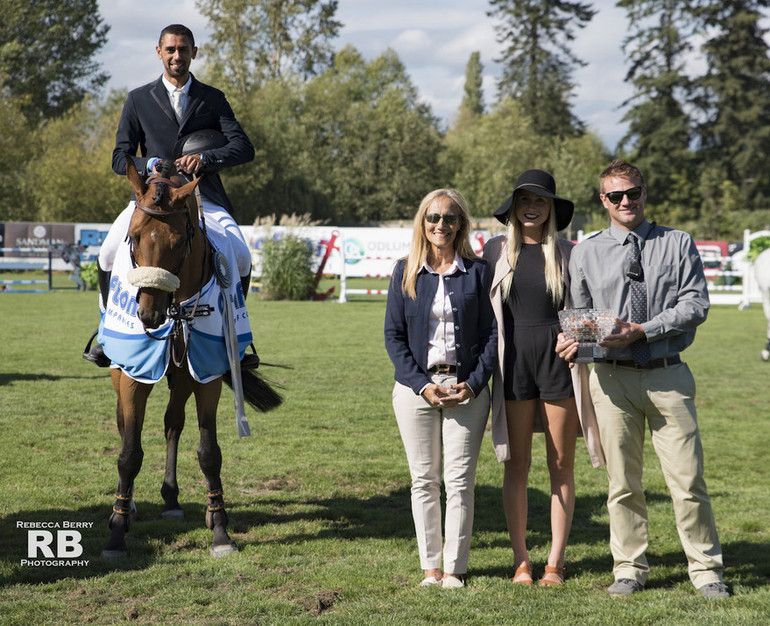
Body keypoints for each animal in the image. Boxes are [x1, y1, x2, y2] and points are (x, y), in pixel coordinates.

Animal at [102, 158, 280, 560]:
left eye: (180, 241)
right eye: (133, 237)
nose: (148, 315)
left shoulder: (206, 373)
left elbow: (208, 451)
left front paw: (220, 529)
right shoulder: (132, 375)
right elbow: (129, 452)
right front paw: (117, 531)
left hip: (183, 374)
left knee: (172, 423)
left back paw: (171, 499)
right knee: (125, 425)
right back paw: (130, 506)